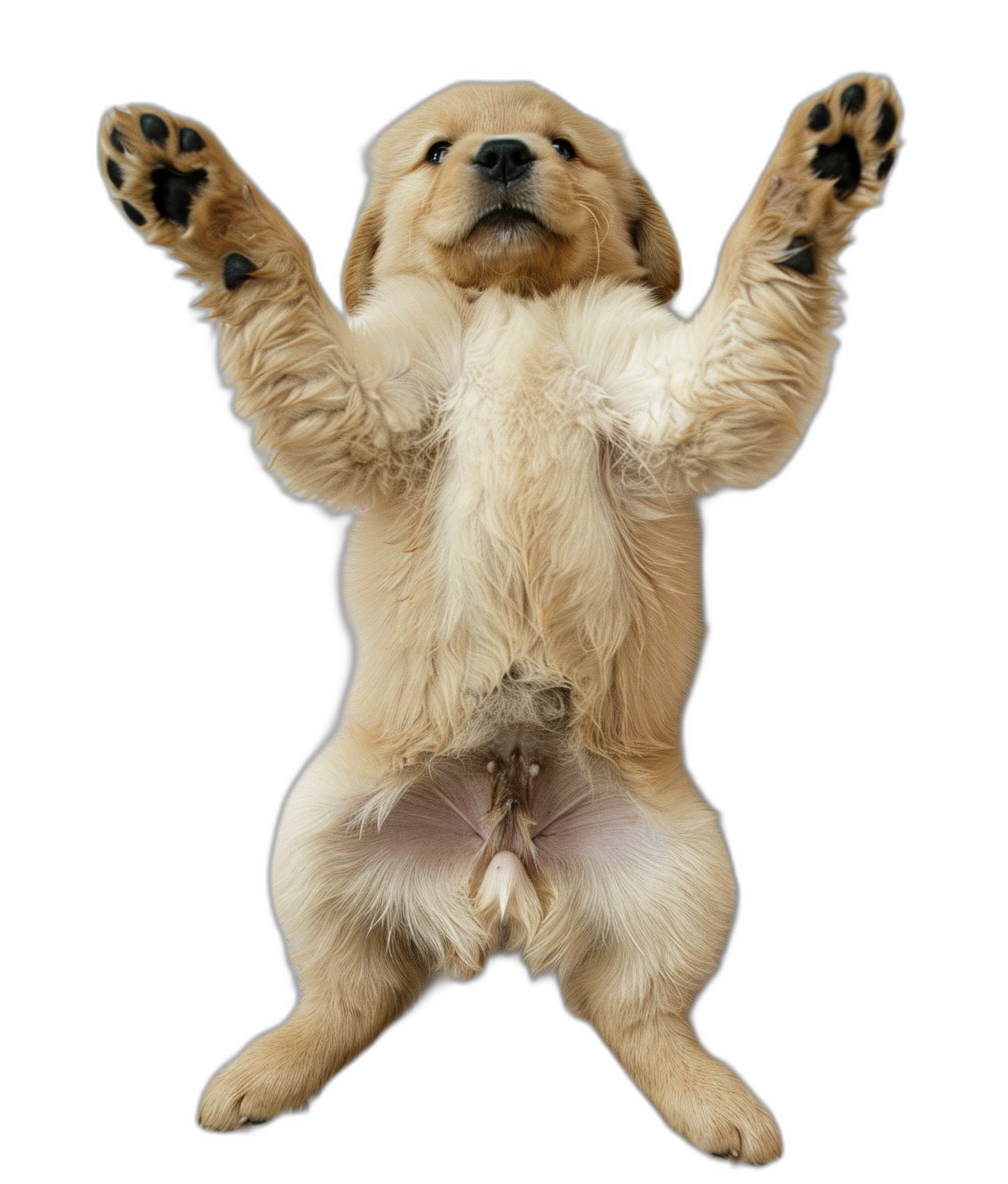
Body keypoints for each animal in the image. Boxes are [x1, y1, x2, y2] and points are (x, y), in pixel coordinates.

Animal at [100, 78, 900, 1160]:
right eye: (438, 151)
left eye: (563, 145)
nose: (507, 153)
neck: (514, 305)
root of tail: (505, 875)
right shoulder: (372, 392)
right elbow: (285, 278)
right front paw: (194, 190)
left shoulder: (667, 387)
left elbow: (745, 301)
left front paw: (818, 179)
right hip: (310, 843)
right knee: (352, 992)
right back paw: (257, 1078)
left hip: (692, 877)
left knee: (636, 1009)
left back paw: (721, 1107)